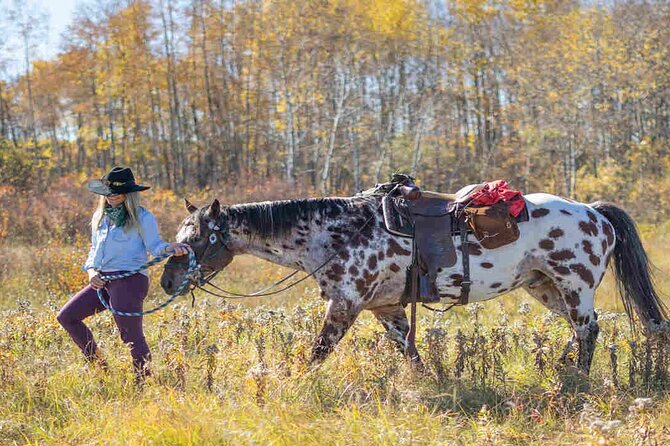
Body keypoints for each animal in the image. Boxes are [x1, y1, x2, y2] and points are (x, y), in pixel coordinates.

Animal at [160, 183, 669, 375]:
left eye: (196, 238)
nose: (166, 282)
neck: (338, 230)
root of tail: (593, 213)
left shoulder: (345, 305)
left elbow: (318, 352)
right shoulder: (385, 308)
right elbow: (411, 353)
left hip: (574, 287)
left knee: (589, 331)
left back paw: (576, 381)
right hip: (544, 287)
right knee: (579, 331)